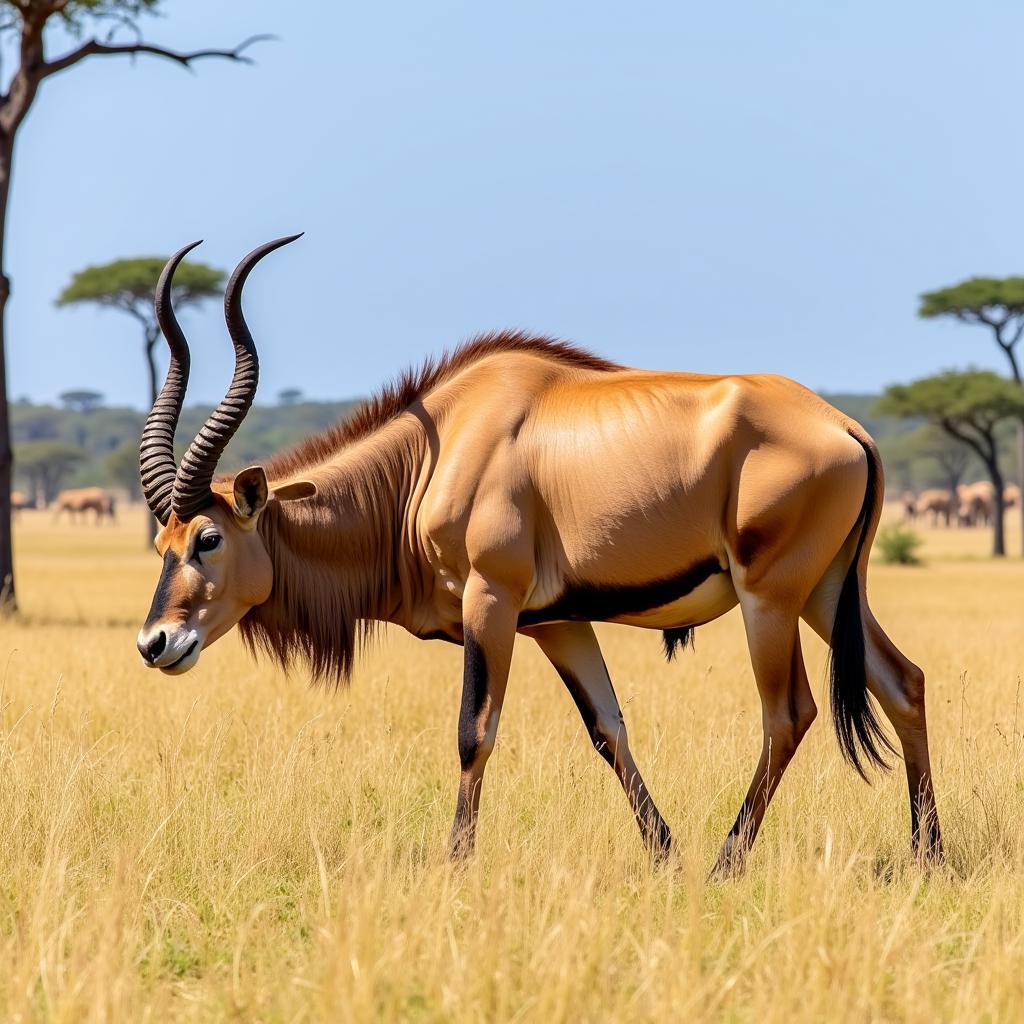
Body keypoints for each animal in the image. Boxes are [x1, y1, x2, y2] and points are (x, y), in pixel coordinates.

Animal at [136, 237, 942, 872]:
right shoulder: (557, 623)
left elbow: (474, 730)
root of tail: (844, 428)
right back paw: (927, 854)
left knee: (789, 713)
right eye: (162, 543)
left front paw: (455, 863)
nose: (156, 643)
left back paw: (729, 862)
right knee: (902, 682)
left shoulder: (492, 602)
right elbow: (608, 729)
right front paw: (663, 854)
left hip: (768, 599)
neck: (436, 452)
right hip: (825, 593)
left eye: (208, 538)